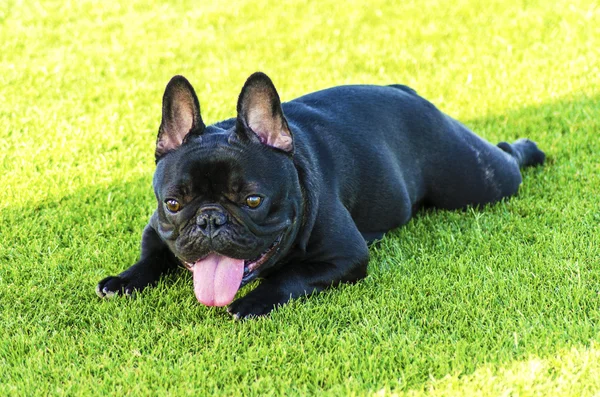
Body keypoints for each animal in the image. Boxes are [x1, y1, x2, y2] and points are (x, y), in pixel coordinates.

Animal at [96, 72, 548, 318]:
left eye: (253, 201)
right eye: (173, 204)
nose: (209, 218)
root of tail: (405, 91)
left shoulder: (345, 257)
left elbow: (291, 275)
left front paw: (254, 302)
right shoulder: (156, 228)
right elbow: (152, 256)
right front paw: (124, 279)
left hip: (477, 180)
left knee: (506, 159)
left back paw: (530, 150)